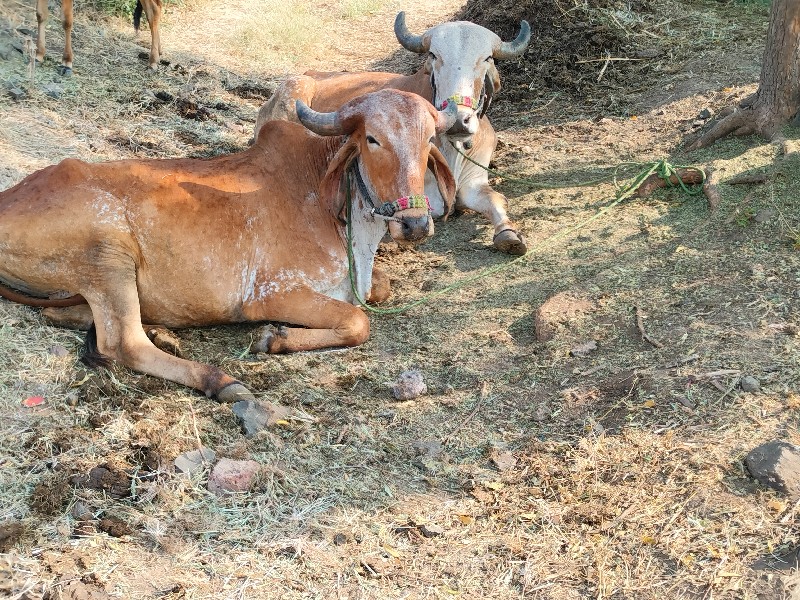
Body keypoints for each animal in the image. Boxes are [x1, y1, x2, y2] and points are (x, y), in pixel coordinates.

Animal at [0, 88, 456, 408]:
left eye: (428, 140)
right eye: (373, 139)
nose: (415, 224)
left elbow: (380, 288)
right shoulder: (271, 292)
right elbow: (359, 321)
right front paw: (272, 338)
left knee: (67, 314)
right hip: (109, 252)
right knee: (124, 343)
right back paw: (220, 381)